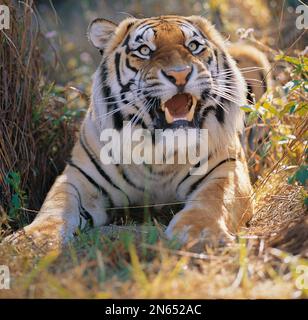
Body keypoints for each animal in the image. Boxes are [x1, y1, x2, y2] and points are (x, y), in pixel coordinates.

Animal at [6, 15, 272, 250]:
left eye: (193, 46)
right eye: (144, 50)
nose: (180, 74)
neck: (160, 151)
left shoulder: (225, 170)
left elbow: (213, 199)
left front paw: (199, 232)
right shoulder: (79, 177)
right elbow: (55, 205)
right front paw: (32, 238)